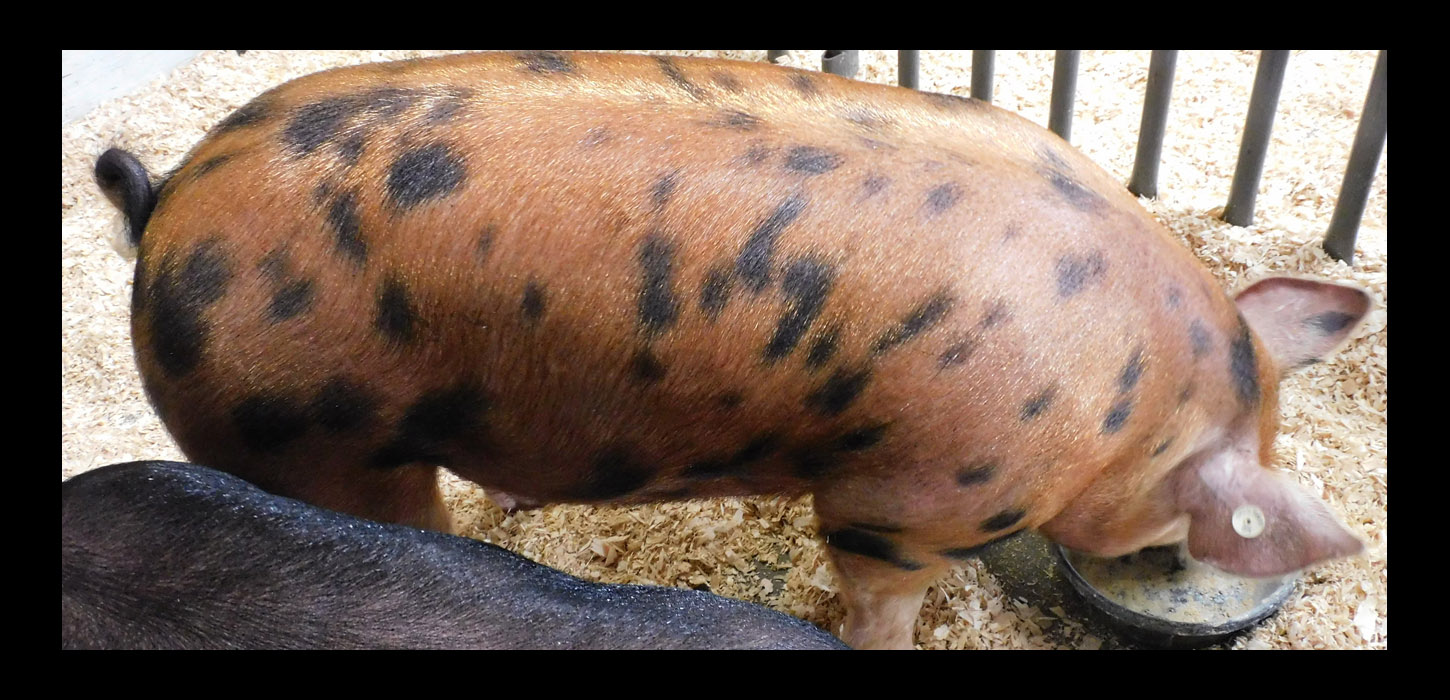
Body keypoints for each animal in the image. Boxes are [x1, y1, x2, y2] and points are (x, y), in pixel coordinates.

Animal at [94, 51, 1371, 649]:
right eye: (1184, 524)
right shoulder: (899, 504)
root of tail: (164, 212)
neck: (1135, 405)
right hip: (312, 443)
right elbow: (877, 594)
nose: (1165, 567)